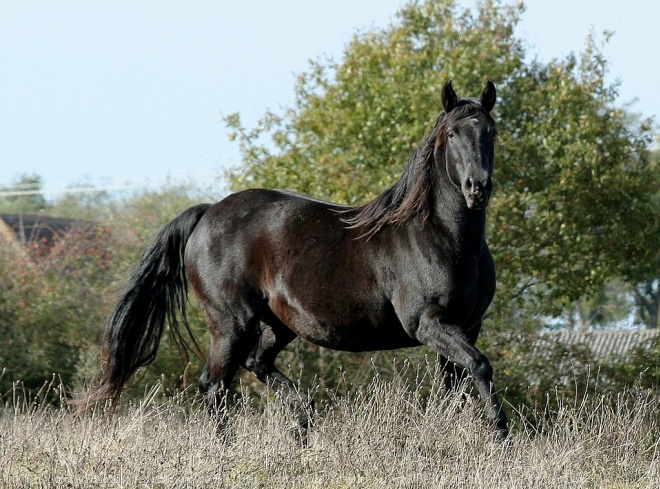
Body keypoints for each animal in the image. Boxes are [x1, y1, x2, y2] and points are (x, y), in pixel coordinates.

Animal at [82, 80, 510, 438]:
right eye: (452, 134)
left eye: (491, 132)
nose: (477, 188)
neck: (440, 238)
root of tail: (207, 212)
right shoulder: (428, 322)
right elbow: (480, 365)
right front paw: (499, 435)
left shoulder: (466, 326)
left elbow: (456, 390)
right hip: (231, 323)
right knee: (216, 384)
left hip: (277, 324)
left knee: (256, 364)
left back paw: (304, 422)